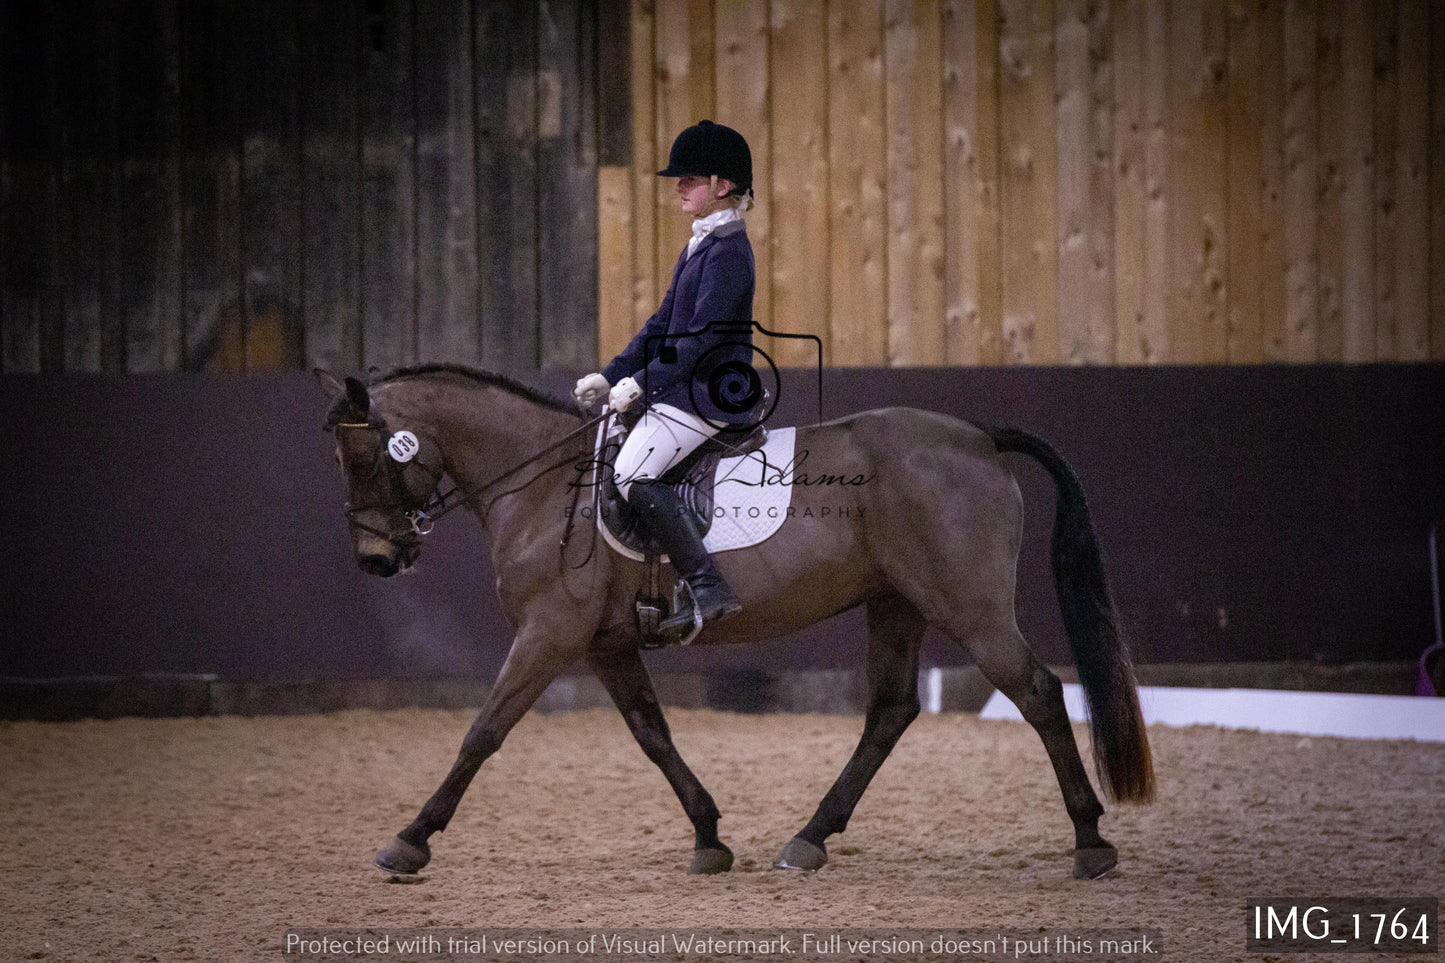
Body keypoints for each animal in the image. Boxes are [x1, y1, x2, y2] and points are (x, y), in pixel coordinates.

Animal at [316, 360, 1150, 879]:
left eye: (362, 460)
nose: (375, 560)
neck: (544, 484)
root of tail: (977, 435)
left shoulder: (549, 634)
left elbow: (482, 732)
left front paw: (410, 839)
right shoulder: (605, 644)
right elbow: (653, 735)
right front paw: (710, 835)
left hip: (966, 605)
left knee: (1037, 691)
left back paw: (1089, 840)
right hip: (896, 602)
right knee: (889, 711)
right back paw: (808, 838)